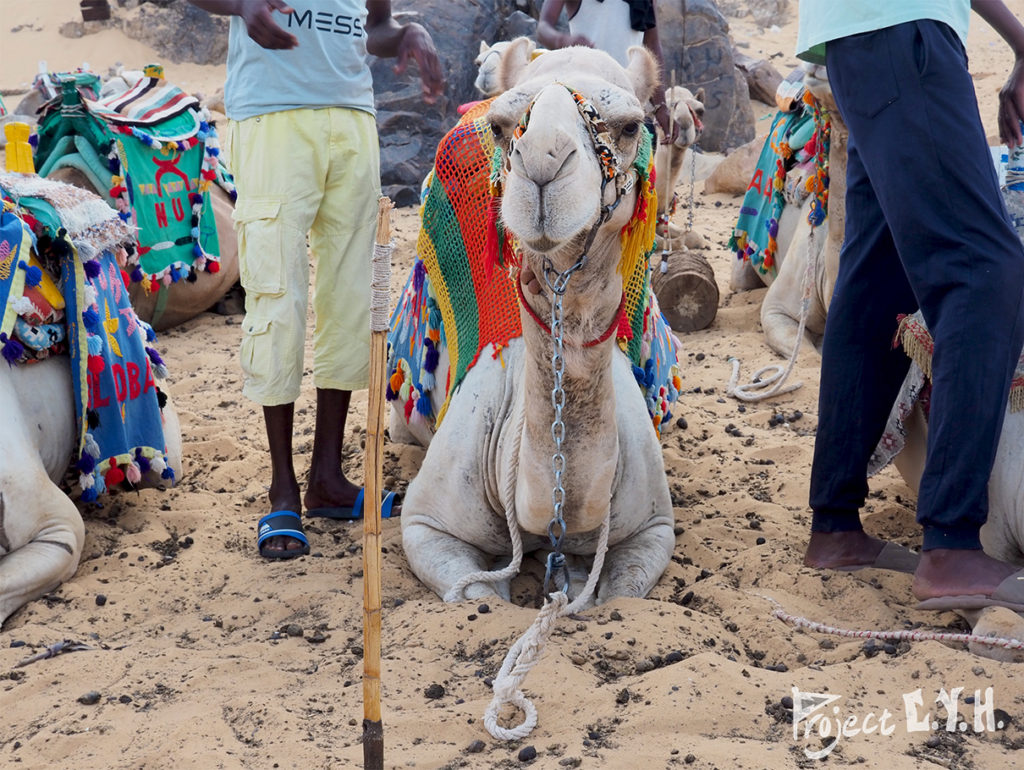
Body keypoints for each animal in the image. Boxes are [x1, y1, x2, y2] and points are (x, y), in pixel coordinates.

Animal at [401, 40, 679, 606]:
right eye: (502, 126)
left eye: (630, 126)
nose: (542, 163)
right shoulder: (424, 526)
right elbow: (477, 596)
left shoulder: (654, 530)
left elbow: (619, 594)